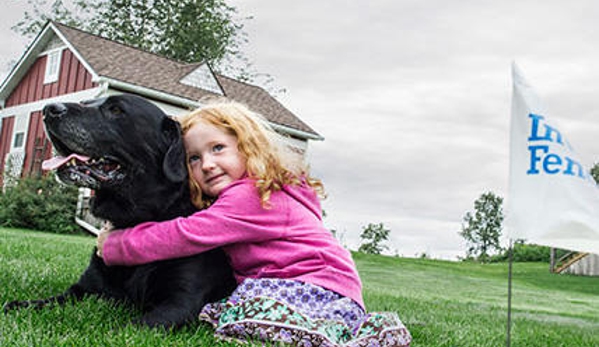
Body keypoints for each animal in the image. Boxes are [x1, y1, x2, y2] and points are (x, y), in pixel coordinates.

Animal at [3, 94, 237, 328]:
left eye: (116, 110)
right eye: (87, 102)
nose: (49, 109)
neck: (136, 220)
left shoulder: (181, 303)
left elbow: (127, 327)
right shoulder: (83, 289)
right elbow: (48, 300)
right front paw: (17, 305)